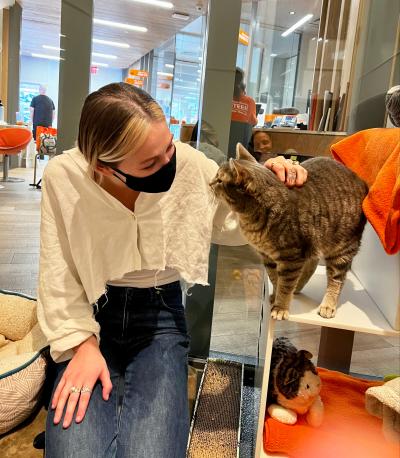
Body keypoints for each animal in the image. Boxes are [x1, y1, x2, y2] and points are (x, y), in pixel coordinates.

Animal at [211, 143, 368, 318]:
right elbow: (275, 279)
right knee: (312, 264)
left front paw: (280, 307)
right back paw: (298, 287)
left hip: (343, 249)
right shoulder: (268, 257)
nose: (210, 183)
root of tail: (361, 180)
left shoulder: (291, 258)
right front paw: (275, 296)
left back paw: (328, 305)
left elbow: (285, 286)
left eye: (219, 179)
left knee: (336, 279)